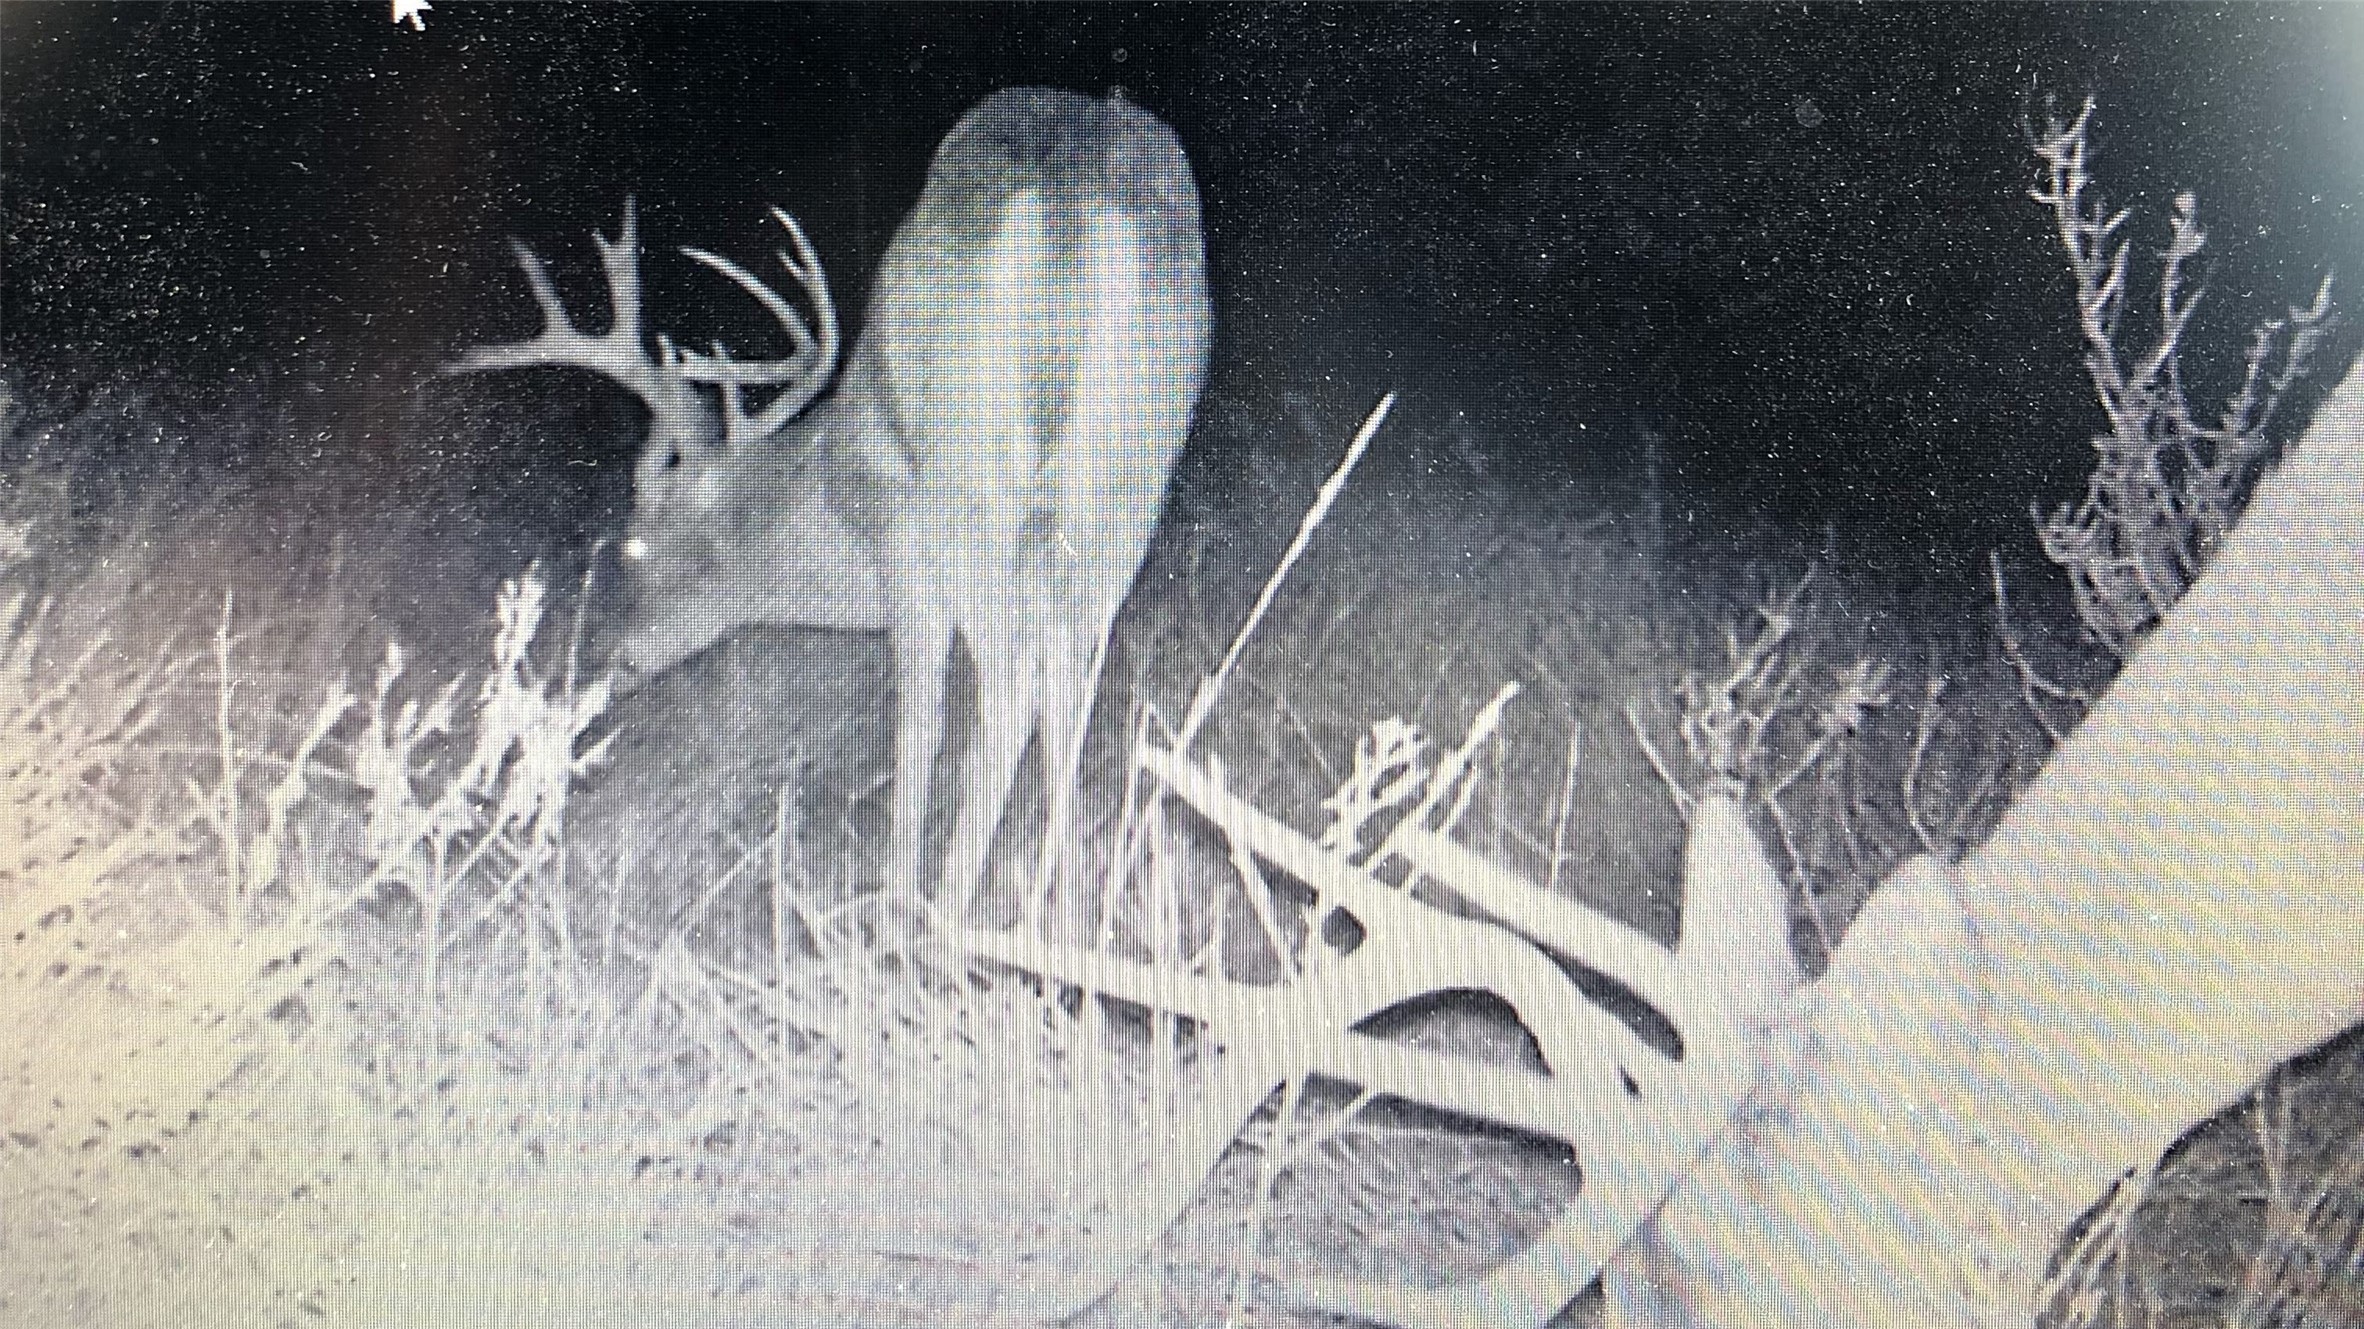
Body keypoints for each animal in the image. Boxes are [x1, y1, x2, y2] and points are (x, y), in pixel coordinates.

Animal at [452, 88, 1212, 927]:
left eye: (633, 545)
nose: (608, 659)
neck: (824, 489)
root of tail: (1077, 203)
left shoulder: (902, 540)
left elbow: (922, 717)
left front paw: (899, 900)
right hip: (1129, 478)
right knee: (1071, 677)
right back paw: (1065, 920)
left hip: (969, 484)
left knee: (1009, 680)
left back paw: (935, 923)